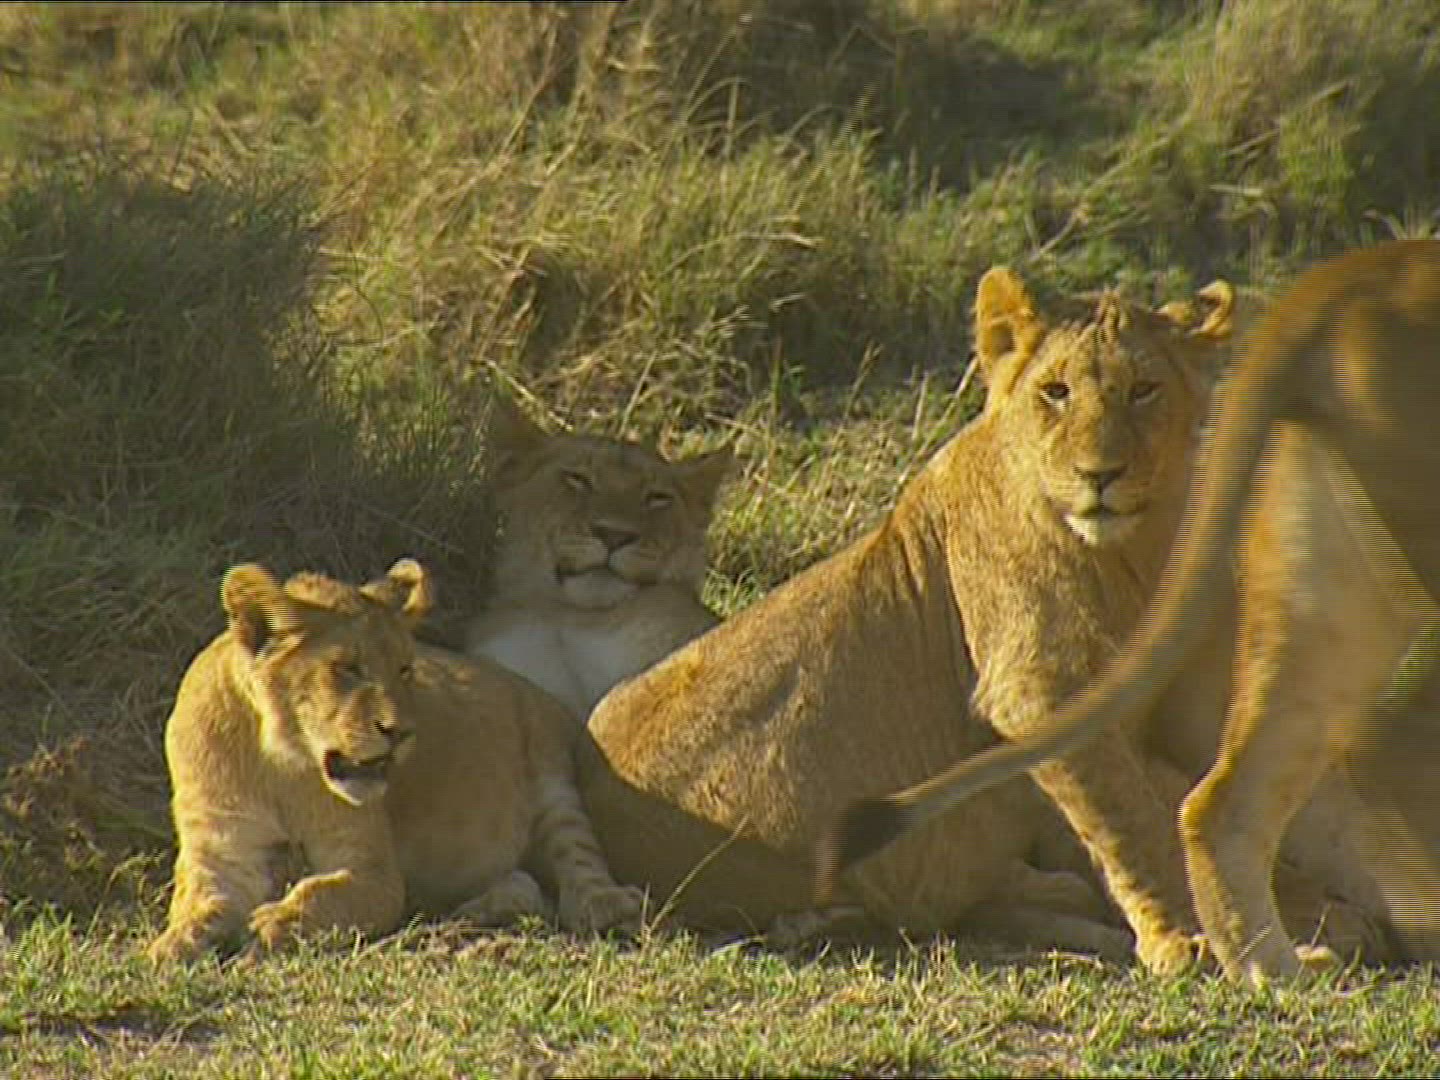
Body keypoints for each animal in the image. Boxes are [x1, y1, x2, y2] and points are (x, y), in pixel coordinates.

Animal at [149, 558, 643, 961]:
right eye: (348, 669)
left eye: (404, 669)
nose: (401, 732)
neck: (277, 762)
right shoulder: (221, 849)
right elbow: (201, 903)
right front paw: (174, 945)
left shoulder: (374, 870)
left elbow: (320, 894)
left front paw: (273, 923)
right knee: (525, 884)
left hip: (553, 771)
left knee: (577, 857)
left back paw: (602, 905)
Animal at [577, 269, 1275, 959]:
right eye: (1056, 391)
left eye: (1143, 391)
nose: (1099, 475)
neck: (1129, 550)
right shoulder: (1035, 690)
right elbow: (1129, 820)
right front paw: (1179, 937)